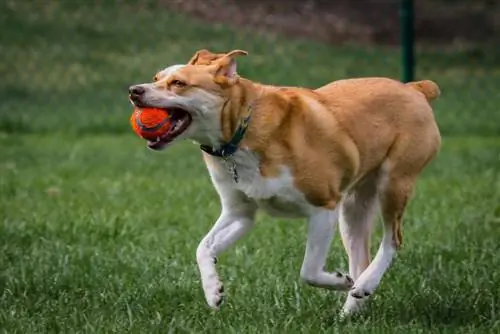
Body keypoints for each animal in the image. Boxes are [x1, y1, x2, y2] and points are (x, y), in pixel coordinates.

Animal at [129, 49, 442, 316]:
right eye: (156, 78)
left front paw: (340, 280)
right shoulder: (240, 212)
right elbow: (202, 248)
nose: (134, 91)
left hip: (394, 182)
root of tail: (414, 88)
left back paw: (363, 284)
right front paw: (213, 292)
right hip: (354, 207)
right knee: (360, 255)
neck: (241, 129)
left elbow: (309, 270)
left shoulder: (323, 207)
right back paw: (352, 307)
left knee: (393, 239)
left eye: (178, 83)